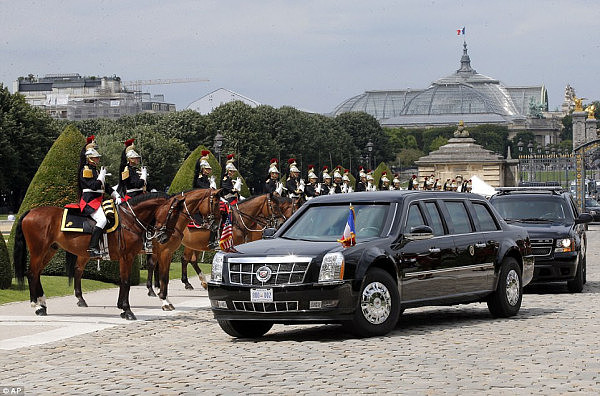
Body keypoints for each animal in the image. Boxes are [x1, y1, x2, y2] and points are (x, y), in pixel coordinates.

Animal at [149, 193, 298, 292]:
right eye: (274, 206)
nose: (282, 222)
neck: (239, 219)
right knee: (166, 260)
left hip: (192, 244)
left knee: (187, 259)